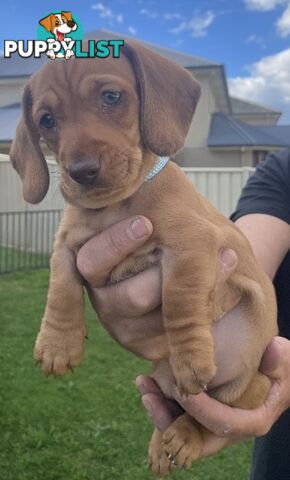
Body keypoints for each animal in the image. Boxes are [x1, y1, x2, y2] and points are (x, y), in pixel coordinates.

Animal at [10, 41, 278, 476]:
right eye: (46, 120)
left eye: (111, 97)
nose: (81, 171)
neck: (115, 207)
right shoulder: (67, 244)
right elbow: (60, 285)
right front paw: (57, 343)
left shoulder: (191, 243)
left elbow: (180, 299)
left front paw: (190, 357)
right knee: (173, 409)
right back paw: (161, 443)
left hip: (247, 387)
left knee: (202, 417)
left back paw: (184, 436)